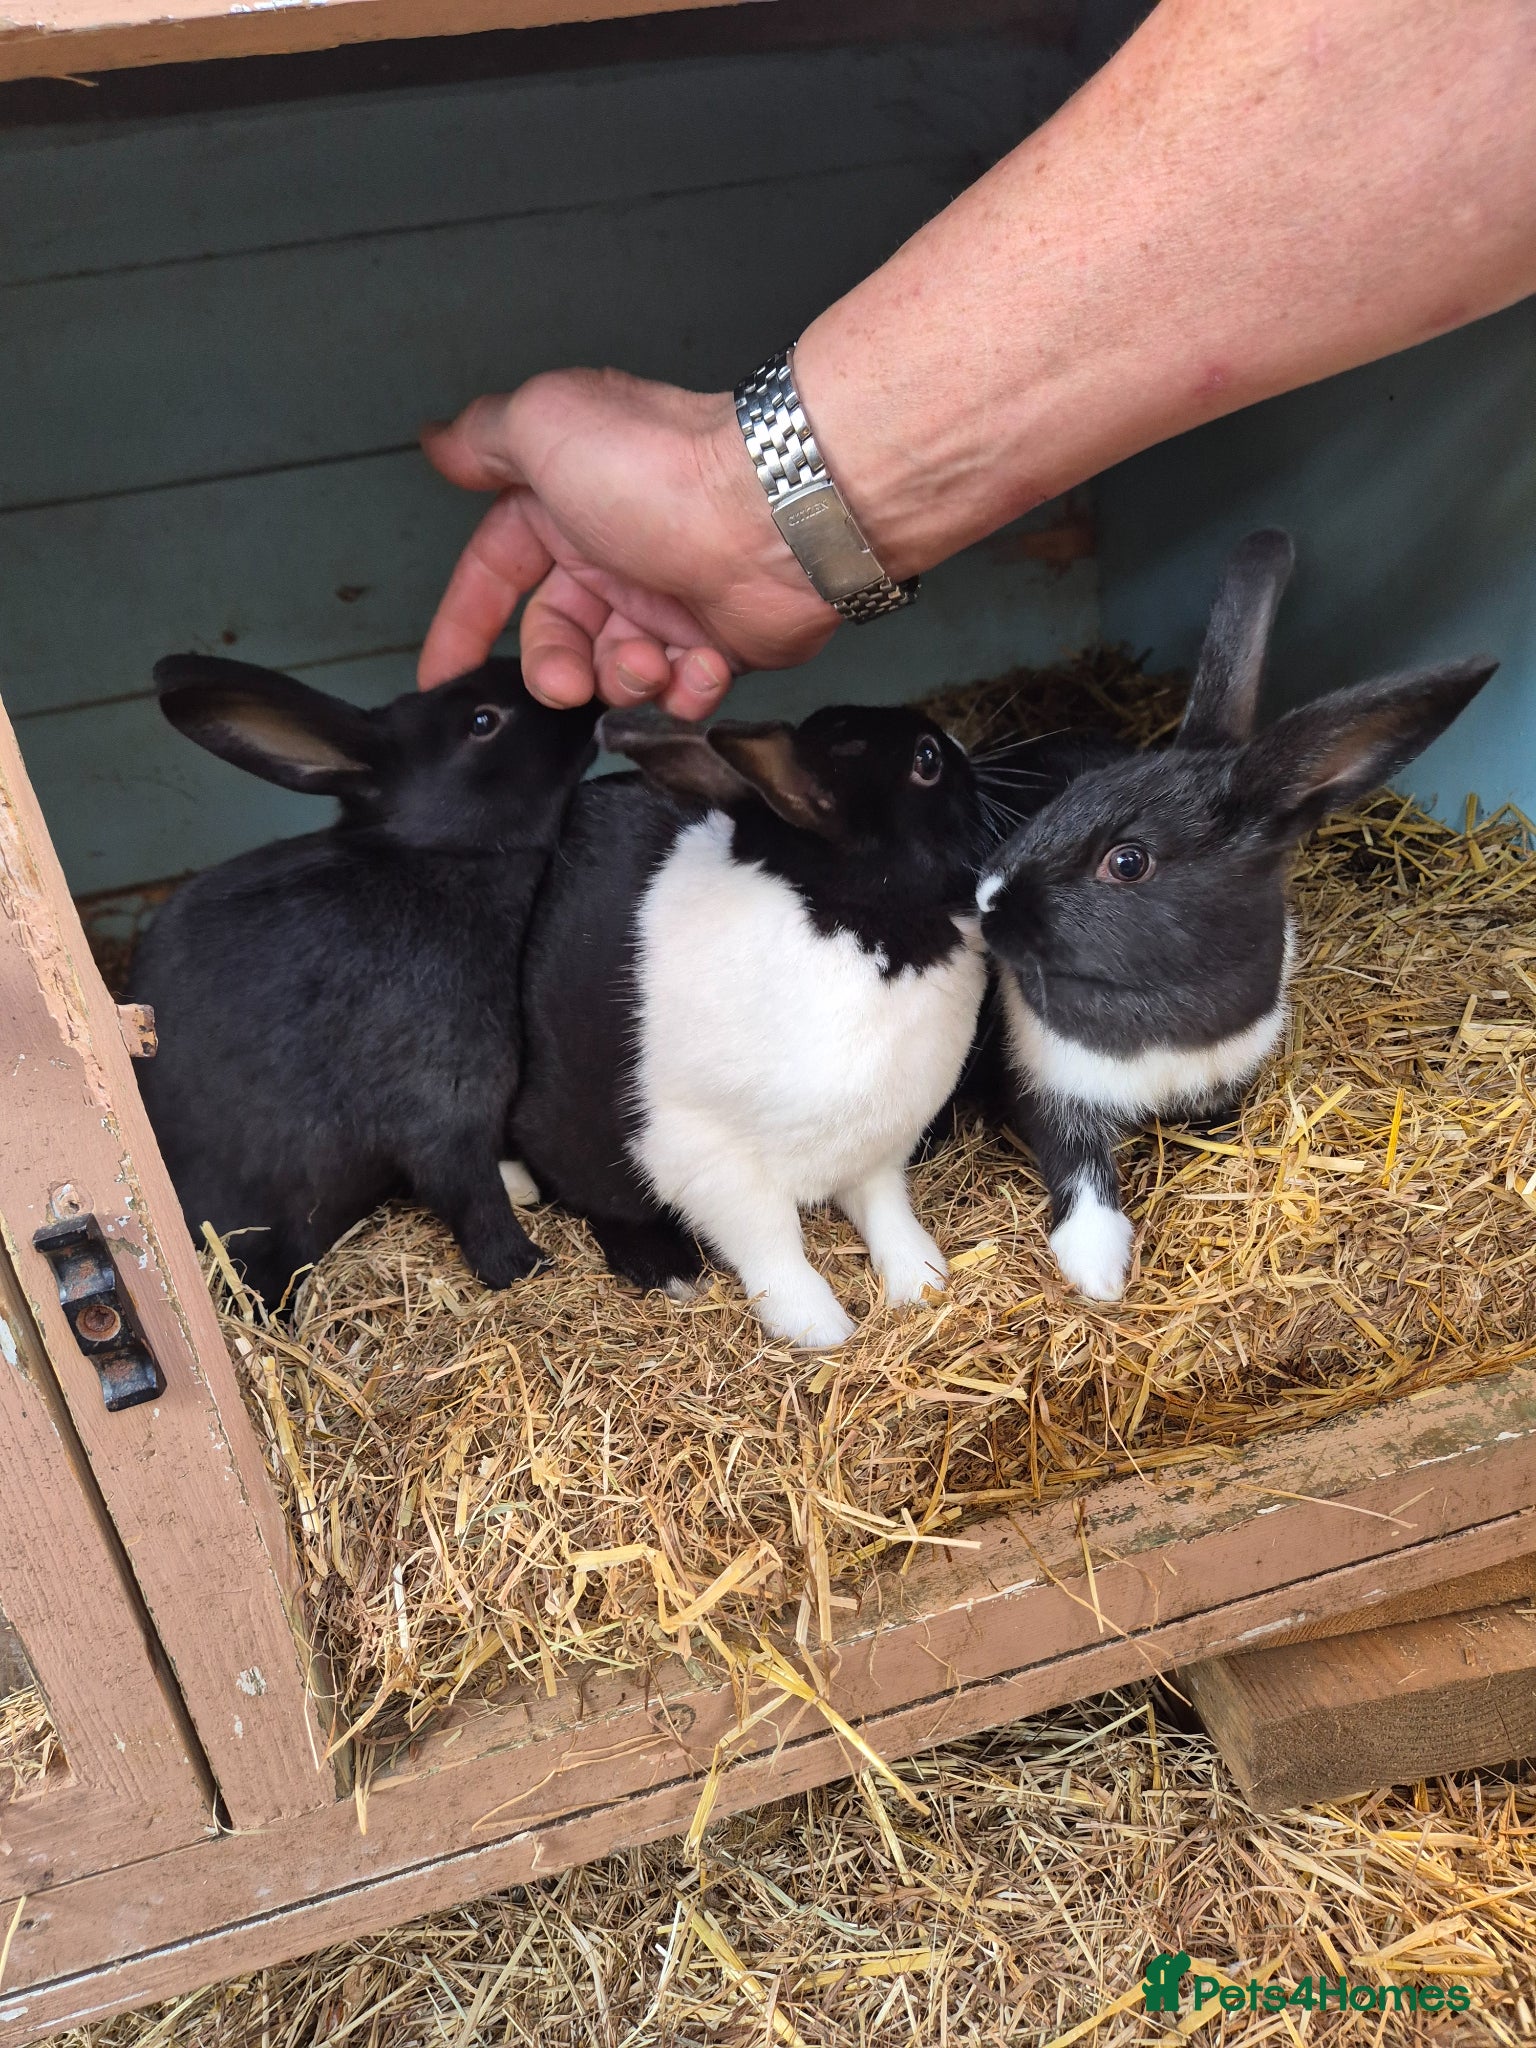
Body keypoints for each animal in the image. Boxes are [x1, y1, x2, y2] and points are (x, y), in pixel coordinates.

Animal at [128, 654, 599, 1310]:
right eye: (482, 721)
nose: (592, 703)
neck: (445, 857)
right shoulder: (443, 1100)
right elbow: (470, 1194)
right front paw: (523, 1266)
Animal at [508, 703, 992, 1349]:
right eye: (927, 760)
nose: (965, 752)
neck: (858, 918)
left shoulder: (876, 1146)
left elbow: (886, 1208)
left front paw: (922, 1280)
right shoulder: (714, 1160)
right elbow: (772, 1245)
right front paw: (820, 1328)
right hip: (575, 1129)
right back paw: (667, 1269)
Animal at [973, 529, 1498, 1304]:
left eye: (1128, 862)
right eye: (1073, 794)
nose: (986, 899)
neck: (1159, 1020)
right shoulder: (1052, 1091)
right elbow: (1080, 1172)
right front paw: (1099, 1273)